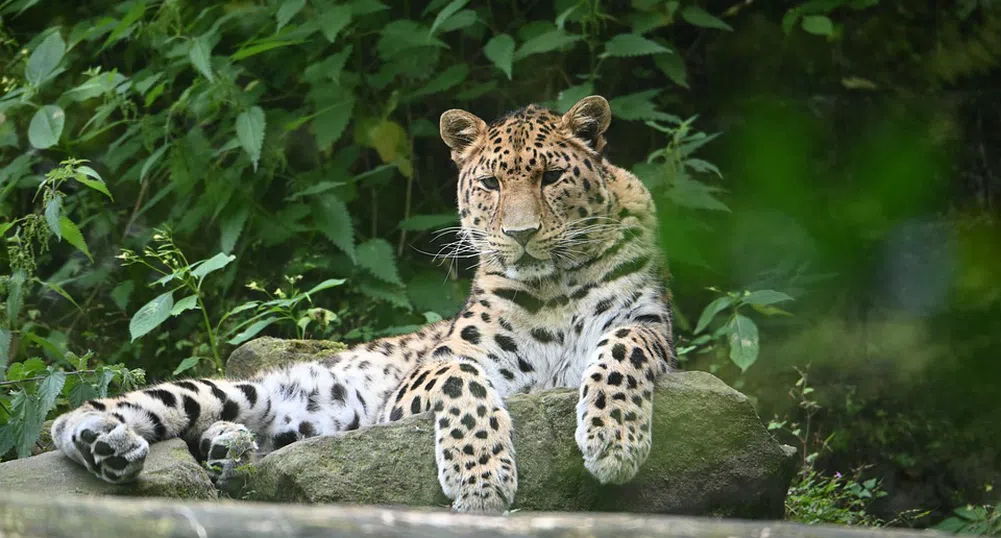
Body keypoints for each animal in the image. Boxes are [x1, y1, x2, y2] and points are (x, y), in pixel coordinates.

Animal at [54, 96, 680, 510]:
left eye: (551, 177)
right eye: (492, 185)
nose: (521, 234)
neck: (551, 289)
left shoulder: (651, 326)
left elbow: (622, 346)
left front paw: (615, 441)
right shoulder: (425, 375)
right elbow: (464, 382)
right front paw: (480, 479)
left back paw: (225, 450)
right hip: (235, 390)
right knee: (94, 413)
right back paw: (111, 444)